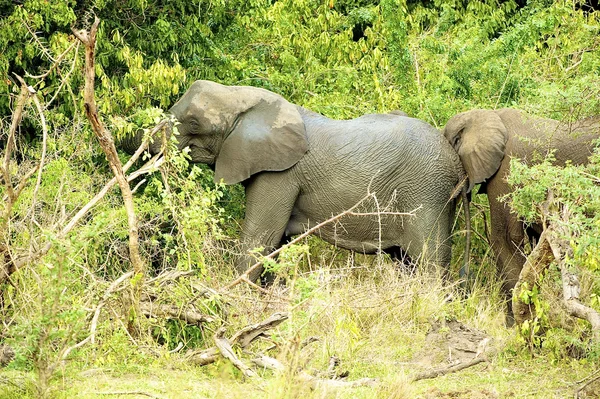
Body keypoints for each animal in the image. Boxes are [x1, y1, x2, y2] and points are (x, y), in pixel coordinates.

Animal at [124, 80, 466, 282]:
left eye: (194, 123)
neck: (245, 98)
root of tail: (454, 157)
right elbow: (273, 244)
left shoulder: (280, 174)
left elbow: (260, 238)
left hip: (427, 193)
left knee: (430, 260)